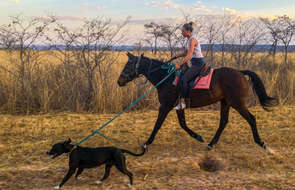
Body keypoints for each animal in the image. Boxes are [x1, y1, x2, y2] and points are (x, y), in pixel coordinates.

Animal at [117, 52, 278, 150]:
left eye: (129, 65)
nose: (119, 81)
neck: (166, 78)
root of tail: (240, 72)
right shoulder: (178, 107)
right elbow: (182, 124)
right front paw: (198, 137)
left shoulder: (165, 106)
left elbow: (158, 125)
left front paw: (146, 143)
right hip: (225, 102)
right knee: (223, 122)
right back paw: (210, 144)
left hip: (237, 103)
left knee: (251, 118)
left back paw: (261, 143)